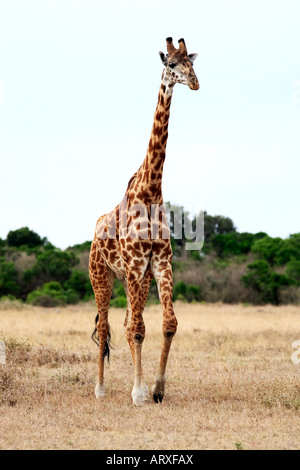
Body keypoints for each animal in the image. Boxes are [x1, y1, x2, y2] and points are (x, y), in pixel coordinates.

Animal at [89, 36, 199, 406]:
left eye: (192, 63)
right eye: (172, 64)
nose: (194, 82)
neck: (151, 191)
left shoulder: (160, 262)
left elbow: (168, 324)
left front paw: (157, 389)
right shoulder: (137, 263)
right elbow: (137, 329)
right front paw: (138, 393)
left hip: (132, 279)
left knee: (124, 323)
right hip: (102, 276)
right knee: (107, 326)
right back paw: (100, 389)